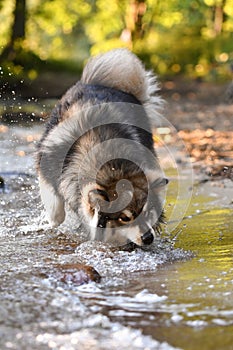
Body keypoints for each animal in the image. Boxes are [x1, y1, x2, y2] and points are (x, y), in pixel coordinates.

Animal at [36, 47, 167, 247]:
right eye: (124, 218)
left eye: (147, 211)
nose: (148, 238)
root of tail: (97, 83)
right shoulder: (47, 166)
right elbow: (56, 211)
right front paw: (51, 222)